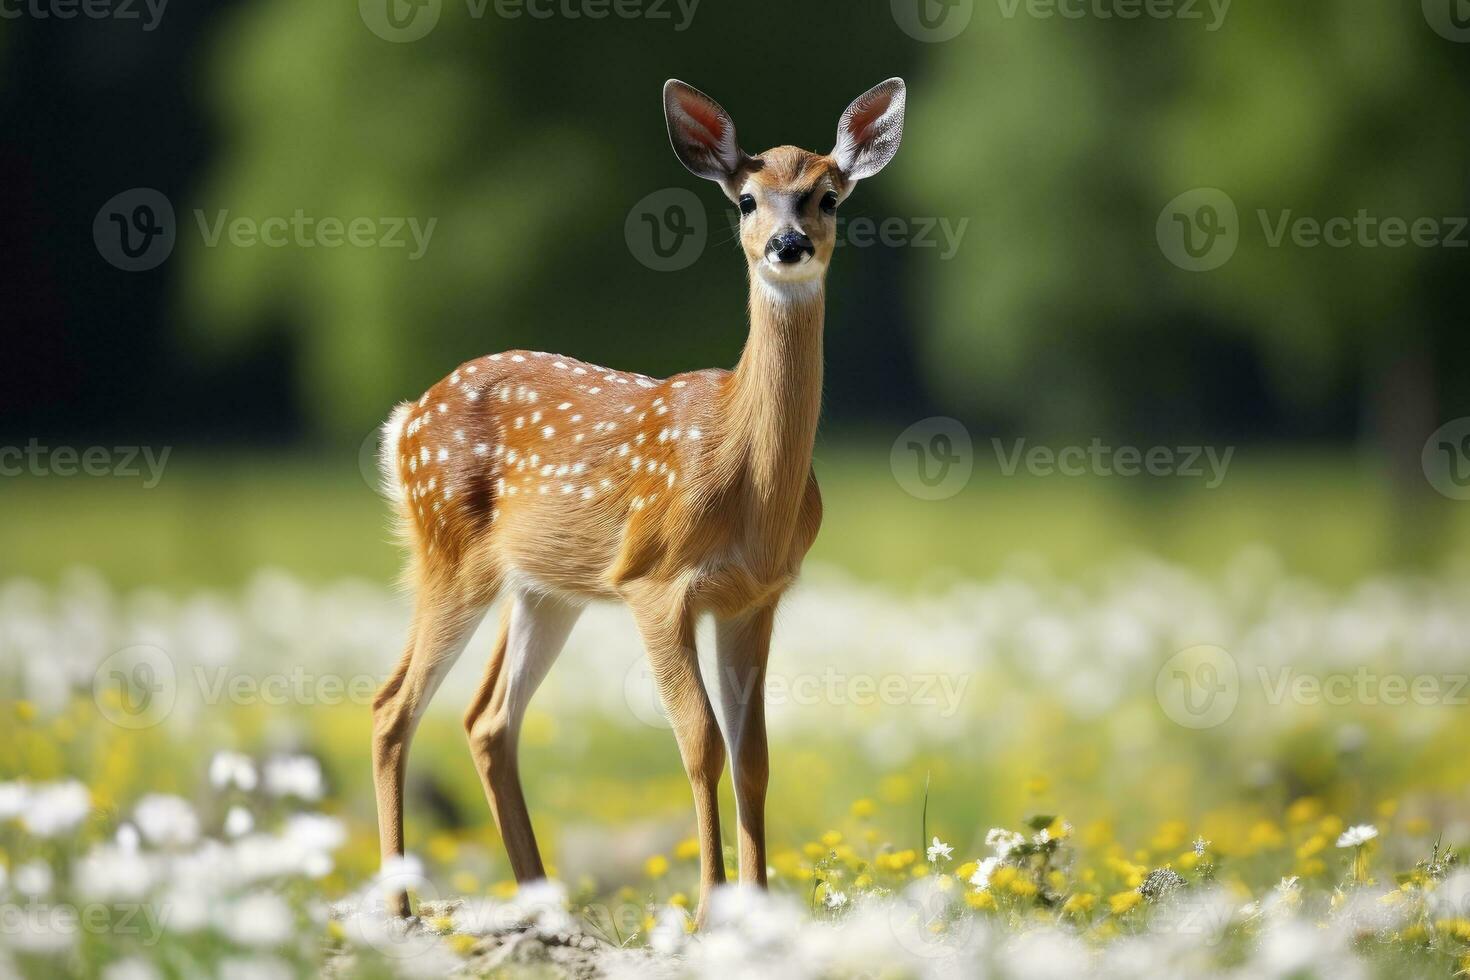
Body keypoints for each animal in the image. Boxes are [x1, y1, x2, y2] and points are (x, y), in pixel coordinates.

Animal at [373, 78, 899, 928]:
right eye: (746, 199)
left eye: (828, 196)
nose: (788, 245)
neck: (747, 480)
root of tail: (405, 420)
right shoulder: (655, 582)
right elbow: (700, 740)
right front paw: (712, 908)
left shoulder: (756, 598)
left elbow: (754, 754)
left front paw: (758, 906)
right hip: (449, 553)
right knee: (394, 706)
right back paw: (400, 907)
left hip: (544, 589)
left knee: (487, 719)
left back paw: (542, 904)